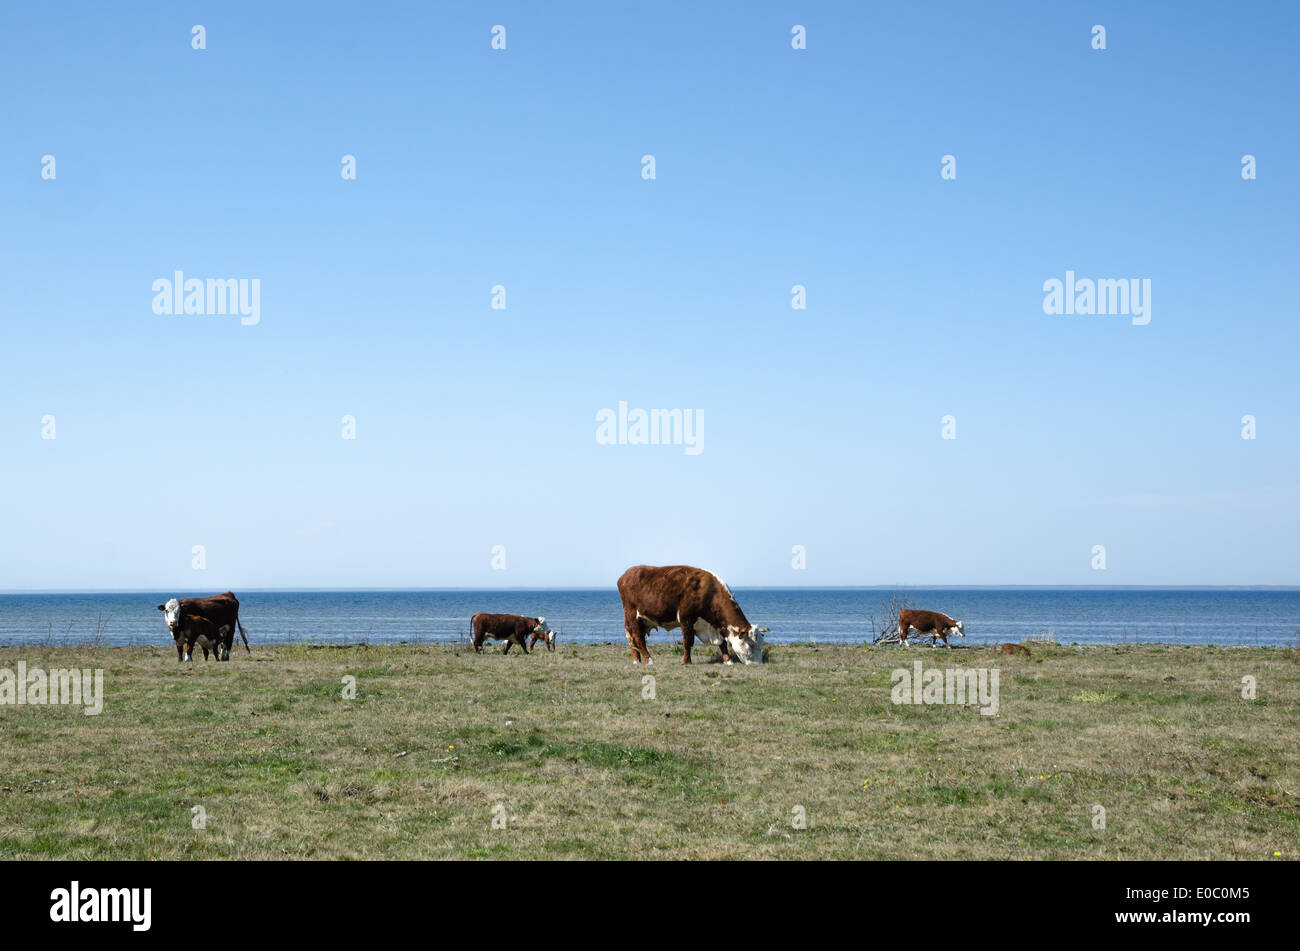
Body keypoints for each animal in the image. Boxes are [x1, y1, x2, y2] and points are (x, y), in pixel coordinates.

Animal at [616, 569, 759, 665]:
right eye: (751, 644)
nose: (758, 664)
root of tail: (625, 575)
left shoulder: (713, 625)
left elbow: (722, 643)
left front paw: (728, 660)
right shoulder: (686, 619)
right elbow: (688, 642)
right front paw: (686, 661)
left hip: (639, 620)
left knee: (633, 639)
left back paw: (637, 660)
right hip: (632, 616)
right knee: (638, 638)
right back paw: (649, 660)